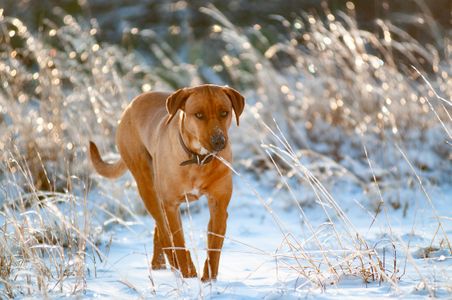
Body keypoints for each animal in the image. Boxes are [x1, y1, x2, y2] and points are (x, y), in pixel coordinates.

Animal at [88, 84, 244, 282]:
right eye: (198, 115)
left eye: (224, 112)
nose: (219, 142)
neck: (197, 160)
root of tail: (131, 104)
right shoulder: (171, 205)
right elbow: (178, 241)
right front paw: (187, 273)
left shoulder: (219, 205)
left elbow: (214, 245)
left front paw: (209, 279)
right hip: (147, 186)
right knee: (163, 229)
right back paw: (175, 265)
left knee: (160, 229)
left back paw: (159, 264)